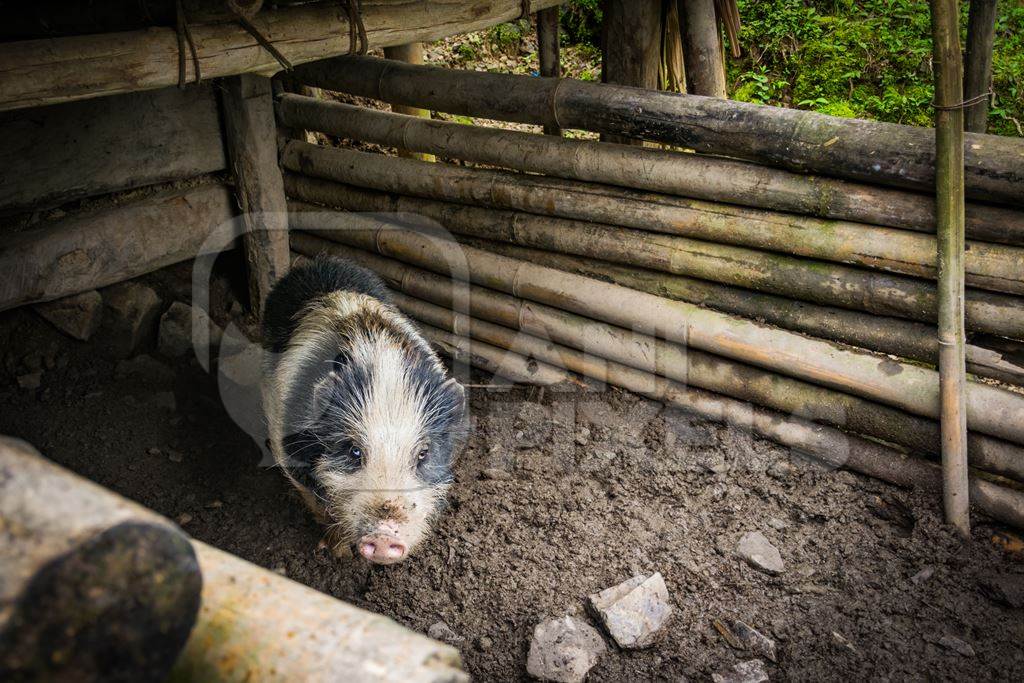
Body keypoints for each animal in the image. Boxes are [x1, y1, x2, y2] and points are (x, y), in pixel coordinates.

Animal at [258, 253, 466, 565]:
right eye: (354, 451)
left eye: (423, 453)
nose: (383, 537)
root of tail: (319, 262)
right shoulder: (288, 447)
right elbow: (316, 500)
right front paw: (339, 553)